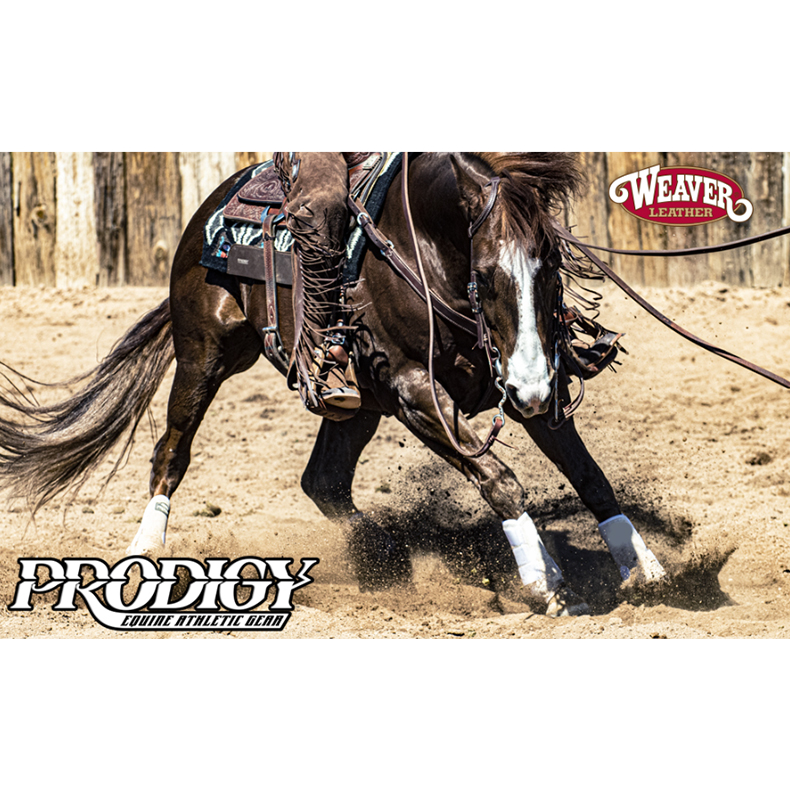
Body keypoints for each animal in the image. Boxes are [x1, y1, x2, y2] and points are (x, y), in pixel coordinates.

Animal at [0, 152, 666, 617]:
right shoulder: (413, 390)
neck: (423, 251)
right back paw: (144, 557)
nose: (528, 388)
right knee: (171, 452)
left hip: (357, 405)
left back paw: (387, 557)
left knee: (322, 480)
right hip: (204, 355)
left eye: (551, 265)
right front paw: (541, 582)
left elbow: (589, 475)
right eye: (485, 271)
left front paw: (643, 565)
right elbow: (500, 479)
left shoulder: (533, 382)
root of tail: (210, 208)